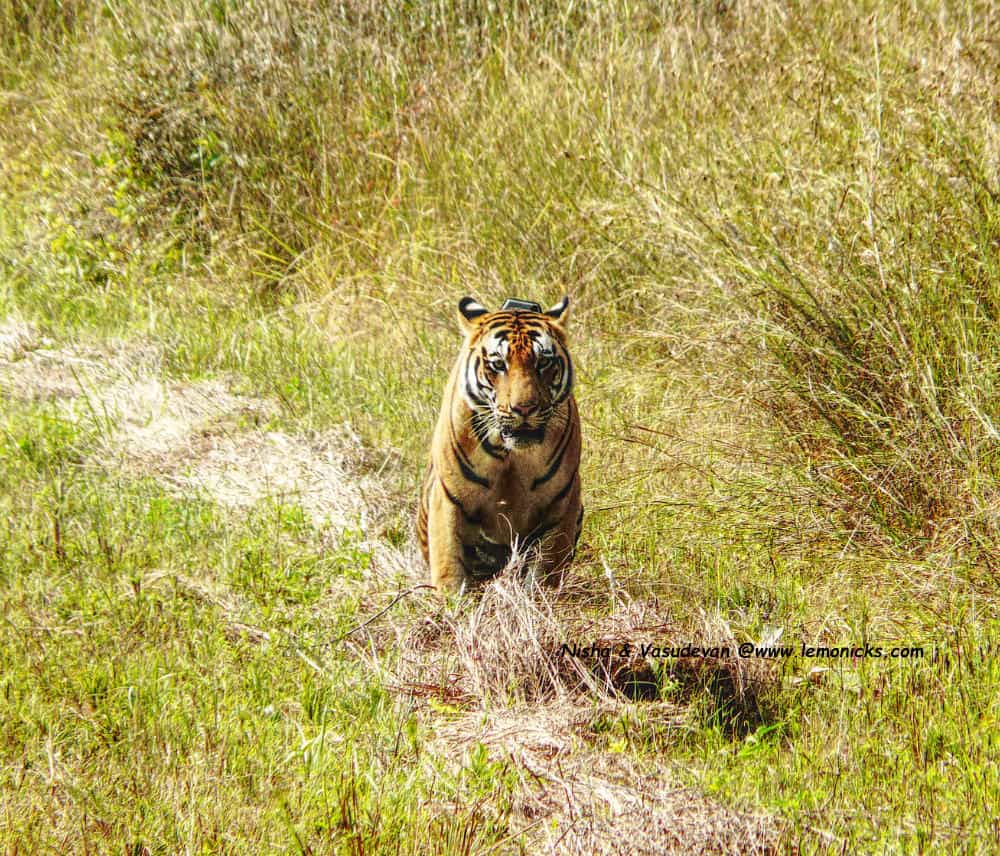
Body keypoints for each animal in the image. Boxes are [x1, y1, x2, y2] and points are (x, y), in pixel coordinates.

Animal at [417, 296, 583, 593]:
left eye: (543, 362)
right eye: (498, 365)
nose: (524, 408)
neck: (511, 455)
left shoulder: (561, 504)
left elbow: (545, 573)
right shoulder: (447, 500)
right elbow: (449, 569)